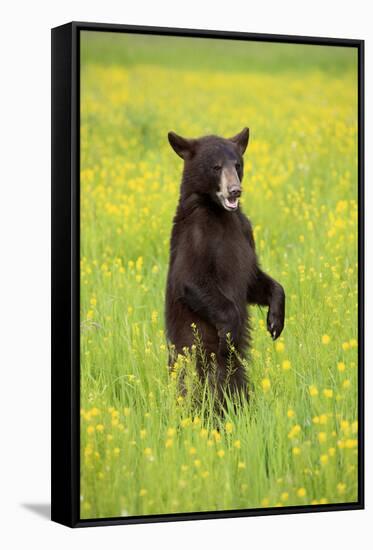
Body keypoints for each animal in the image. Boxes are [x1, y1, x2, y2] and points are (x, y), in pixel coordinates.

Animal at [164, 128, 284, 406]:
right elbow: (191, 279)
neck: (218, 213)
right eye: (216, 167)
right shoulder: (195, 236)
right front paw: (229, 336)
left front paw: (275, 321)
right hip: (195, 356)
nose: (235, 191)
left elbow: (254, 280)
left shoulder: (244, 232)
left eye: (237, 164)